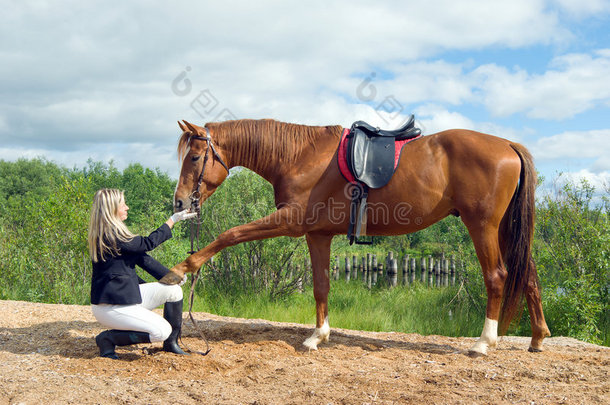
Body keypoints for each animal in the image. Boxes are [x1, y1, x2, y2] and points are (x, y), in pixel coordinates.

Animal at [164, 118, 548, 356]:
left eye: (195, 157)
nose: (180, 203)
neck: (300, 155)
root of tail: (507, 144)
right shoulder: (317, 234)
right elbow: (321, 286)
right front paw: (318, 336)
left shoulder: (290, 221)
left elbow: (230, 234)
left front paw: (182, 268)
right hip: (505, 228)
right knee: (528, 274)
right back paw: (538, 337)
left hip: (482, 225)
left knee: (497, 276)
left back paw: (483, 343)